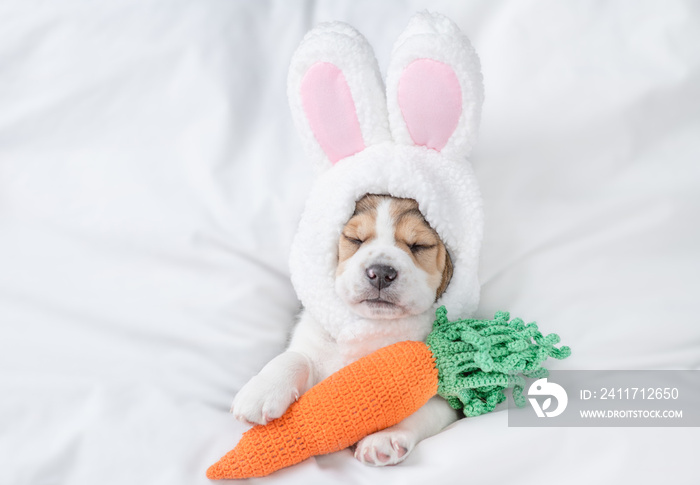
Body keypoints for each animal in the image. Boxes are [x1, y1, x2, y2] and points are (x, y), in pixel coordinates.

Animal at [230, 193, 460, 466]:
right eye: (354, 239)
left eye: (419, 246)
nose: (380, 272)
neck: (374, 325)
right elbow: (295, 357)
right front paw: (261, 391)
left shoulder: (450, 402)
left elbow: (423, 411)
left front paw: (387, 437)